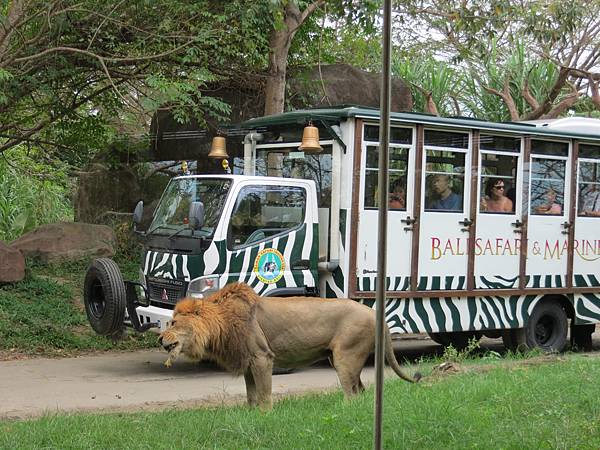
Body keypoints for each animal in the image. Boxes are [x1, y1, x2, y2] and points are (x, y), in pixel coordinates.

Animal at [159, 284, 422, 410]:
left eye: (173, 322)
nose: (160, 339)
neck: (221, 322)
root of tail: (376, 313)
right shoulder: (249, 362)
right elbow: (251, 395)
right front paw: (251, 414)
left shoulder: (263, 358)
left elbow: (264, 394)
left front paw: (266, 416)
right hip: (344, 359)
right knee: (361, 391)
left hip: (345, 358)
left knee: (352, 393)